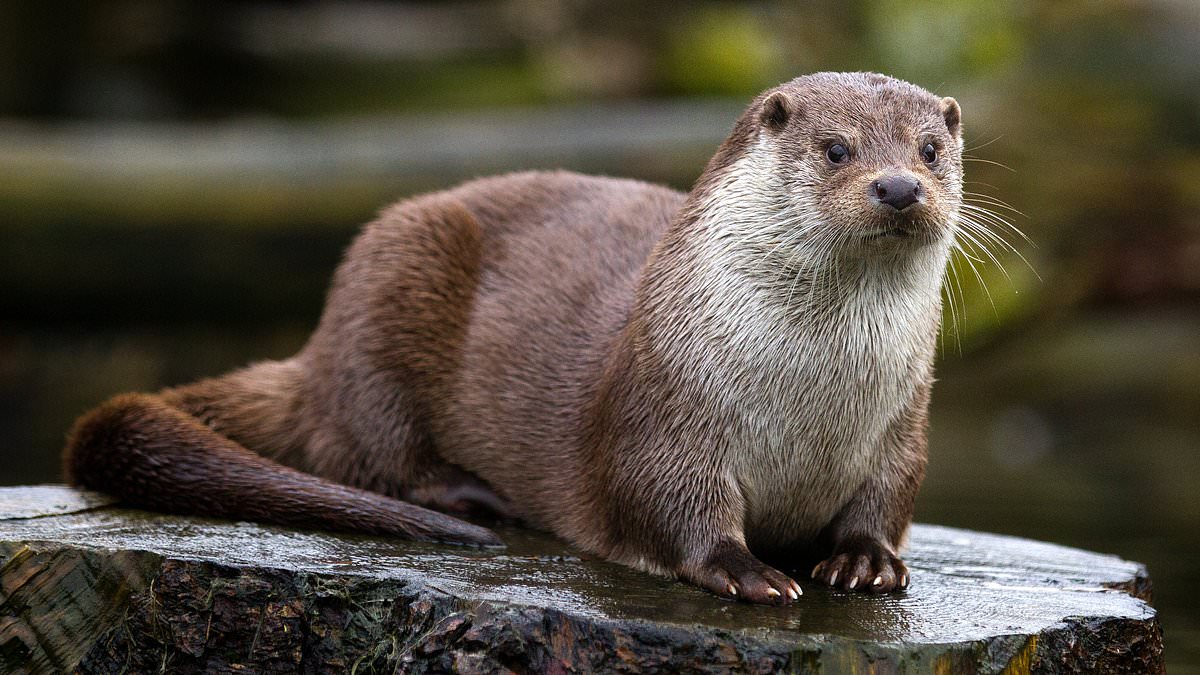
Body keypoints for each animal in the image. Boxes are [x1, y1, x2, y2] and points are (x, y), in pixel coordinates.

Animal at [63, 73, 964, 605]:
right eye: (836, 148)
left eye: (931, 149)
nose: (898, 186)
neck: (811, 401)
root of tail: (315, 354)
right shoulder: (663, 409)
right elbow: (666, 502)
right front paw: (748, 570)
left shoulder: (904, 425)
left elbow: (891, 496)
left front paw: (865, 561)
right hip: (390, 278)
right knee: (360, 448)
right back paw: (468, 496)